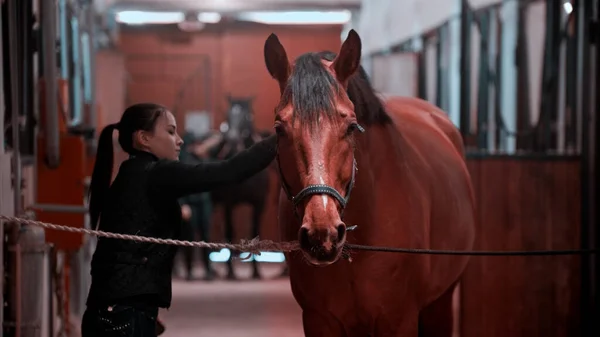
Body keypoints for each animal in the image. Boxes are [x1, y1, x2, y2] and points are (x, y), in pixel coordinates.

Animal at [206, 94, 272, 278]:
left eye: (248, 116)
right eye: (228, 115)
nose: (233, 138)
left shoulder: (259, 203)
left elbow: (254, 230)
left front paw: (256, 271)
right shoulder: (229, 203)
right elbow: (230, 232)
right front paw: (230, 272)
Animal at [264, 29, 476, 336]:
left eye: (351, 127)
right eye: (279, 129)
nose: (322, 235)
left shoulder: (398, 319)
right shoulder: (319, 319)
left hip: (442, 302)